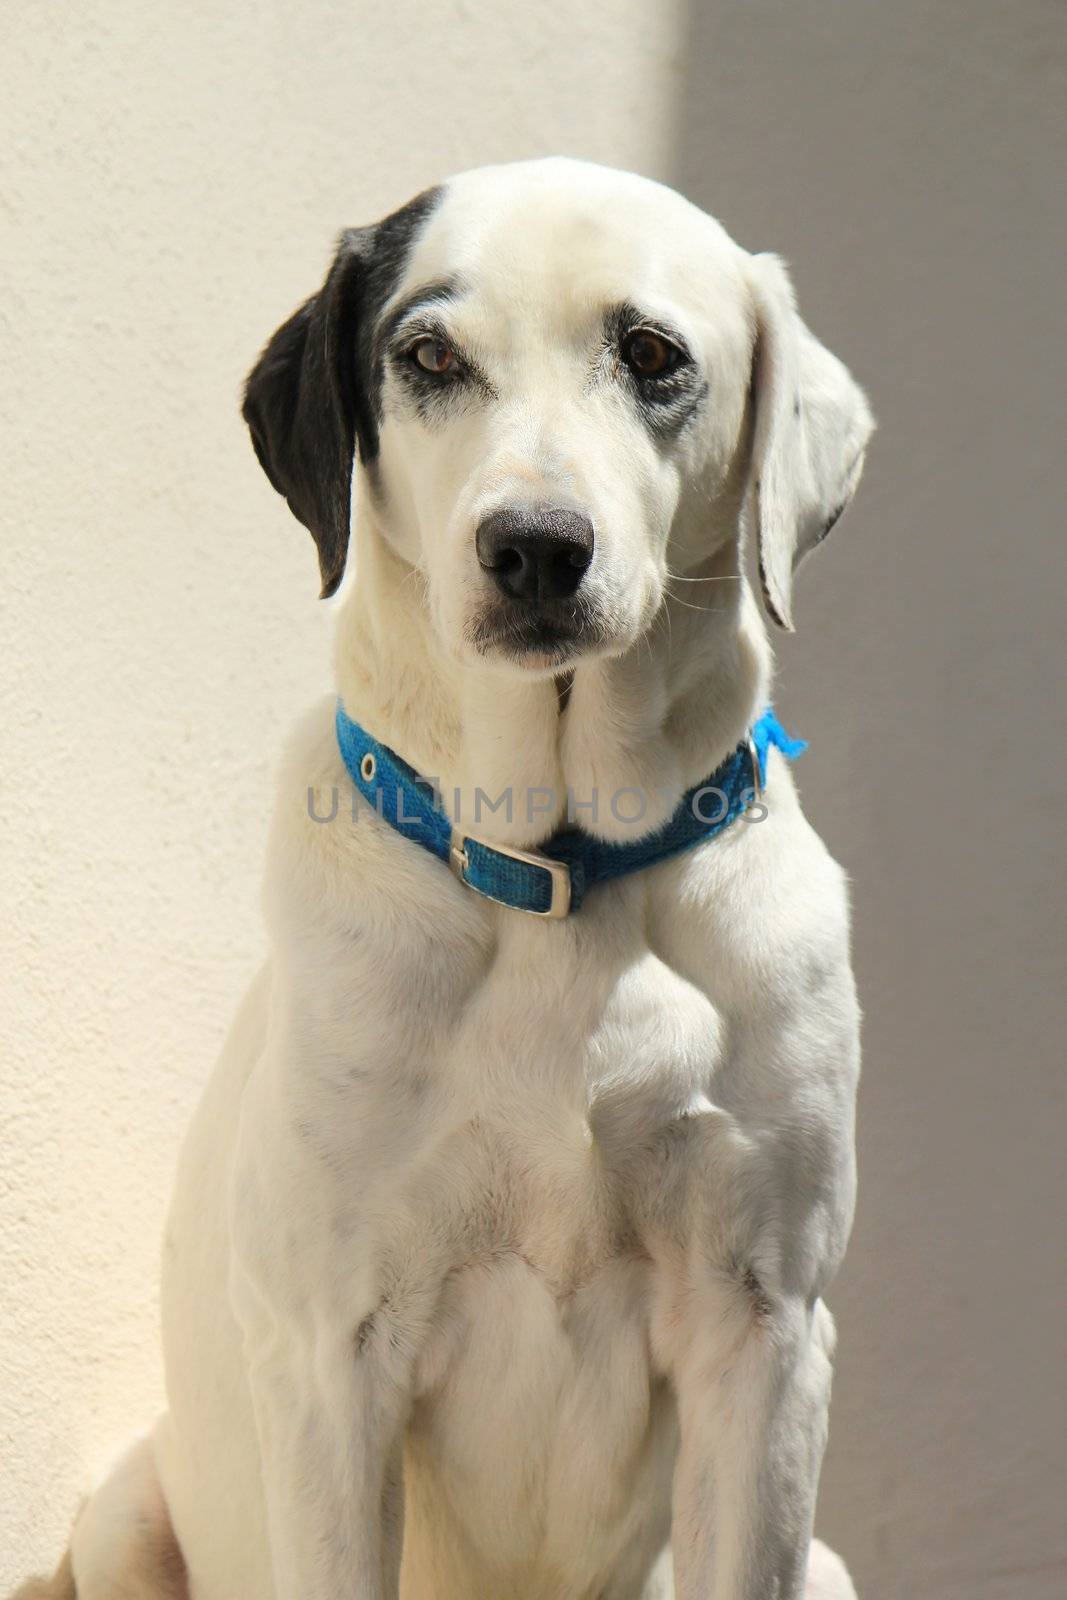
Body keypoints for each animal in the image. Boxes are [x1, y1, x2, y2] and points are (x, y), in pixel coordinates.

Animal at [12, 152, 870, 1600]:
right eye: (427, 355)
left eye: (651, 354)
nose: (533, 546)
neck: (559, 875)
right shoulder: (329, 1351)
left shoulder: (763, 1327)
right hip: (123, 1511)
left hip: (828, 1560)